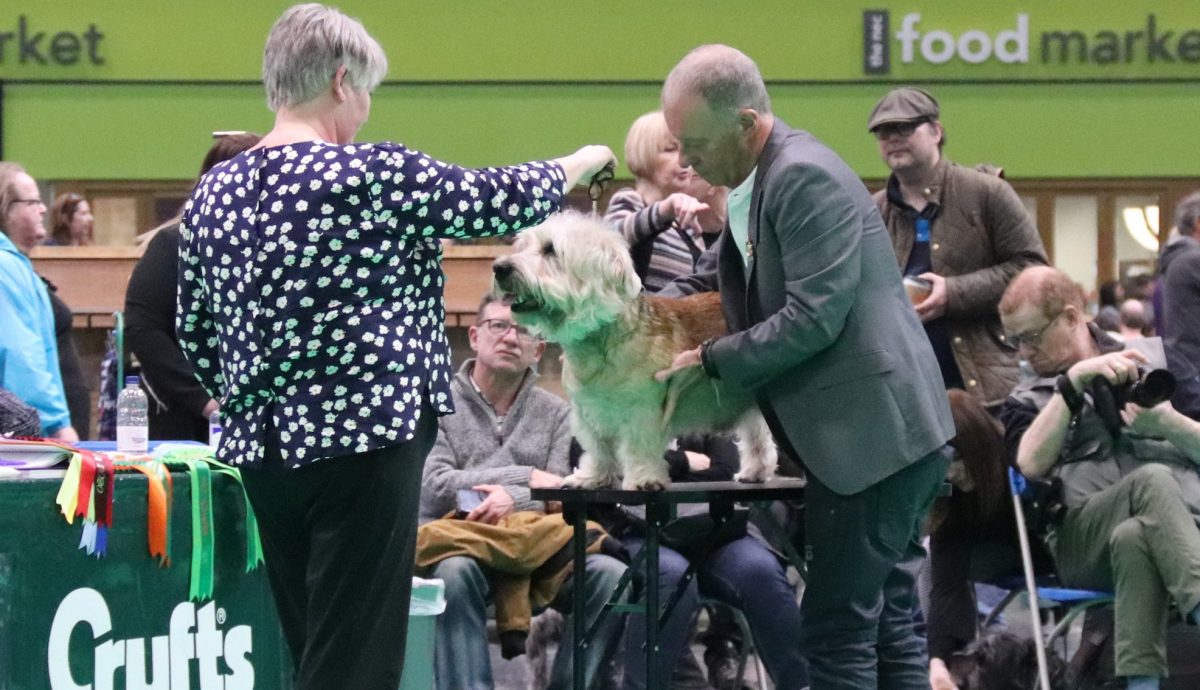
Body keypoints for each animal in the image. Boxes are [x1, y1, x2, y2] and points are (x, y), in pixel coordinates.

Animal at [489, 212, 777, 492]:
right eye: (523, 246)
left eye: (550, 249)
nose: (499, 267)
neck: (600, 341)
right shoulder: (588, 413)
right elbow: (598, 450)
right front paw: (593, 477)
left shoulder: (643, 411)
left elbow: (639, 447)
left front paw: (643, 479)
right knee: (757, 436)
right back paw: (755, 472)